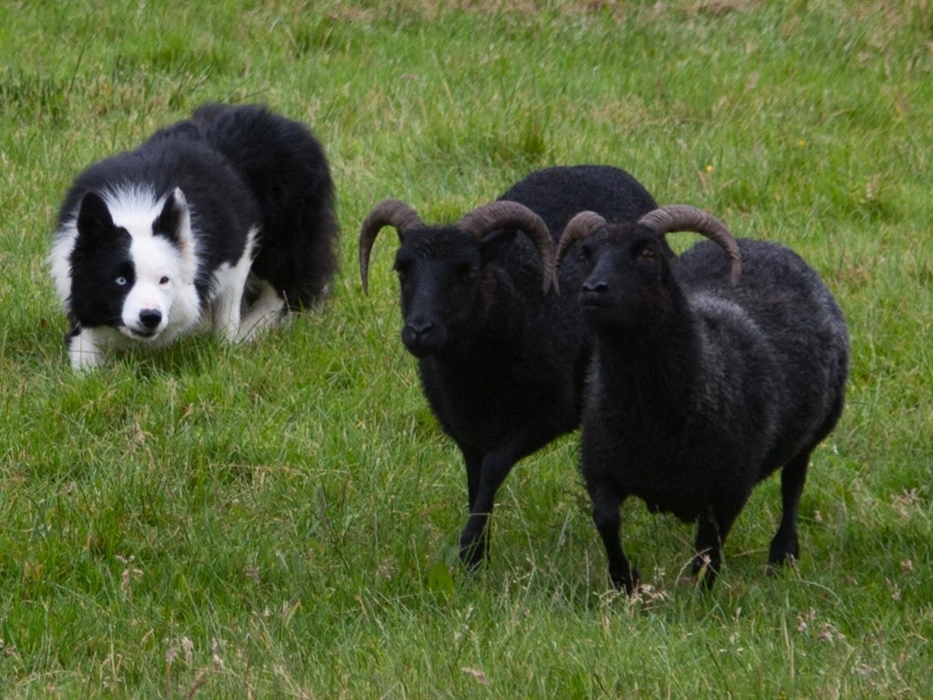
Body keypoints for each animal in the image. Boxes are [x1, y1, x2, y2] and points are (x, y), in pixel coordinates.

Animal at [359, 165, 660, 567]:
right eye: (401, 270)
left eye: (468, 270)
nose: (419, 331)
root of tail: (604, 167)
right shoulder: (465, 431)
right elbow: (474, 482)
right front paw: (476, 557)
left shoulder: (547, 417)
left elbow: (492, 470)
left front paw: (468, 547)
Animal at [555, 205, 849, 591]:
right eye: (584, 255)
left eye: (648, 253)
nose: (593, 289)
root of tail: (764, 244)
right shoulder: (600, 467)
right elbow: (605, 519)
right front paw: (626, 581)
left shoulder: (730, 486)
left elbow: (709, 546)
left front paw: (701, 593)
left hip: (813, 430)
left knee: (793, 484)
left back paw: (782, 555)